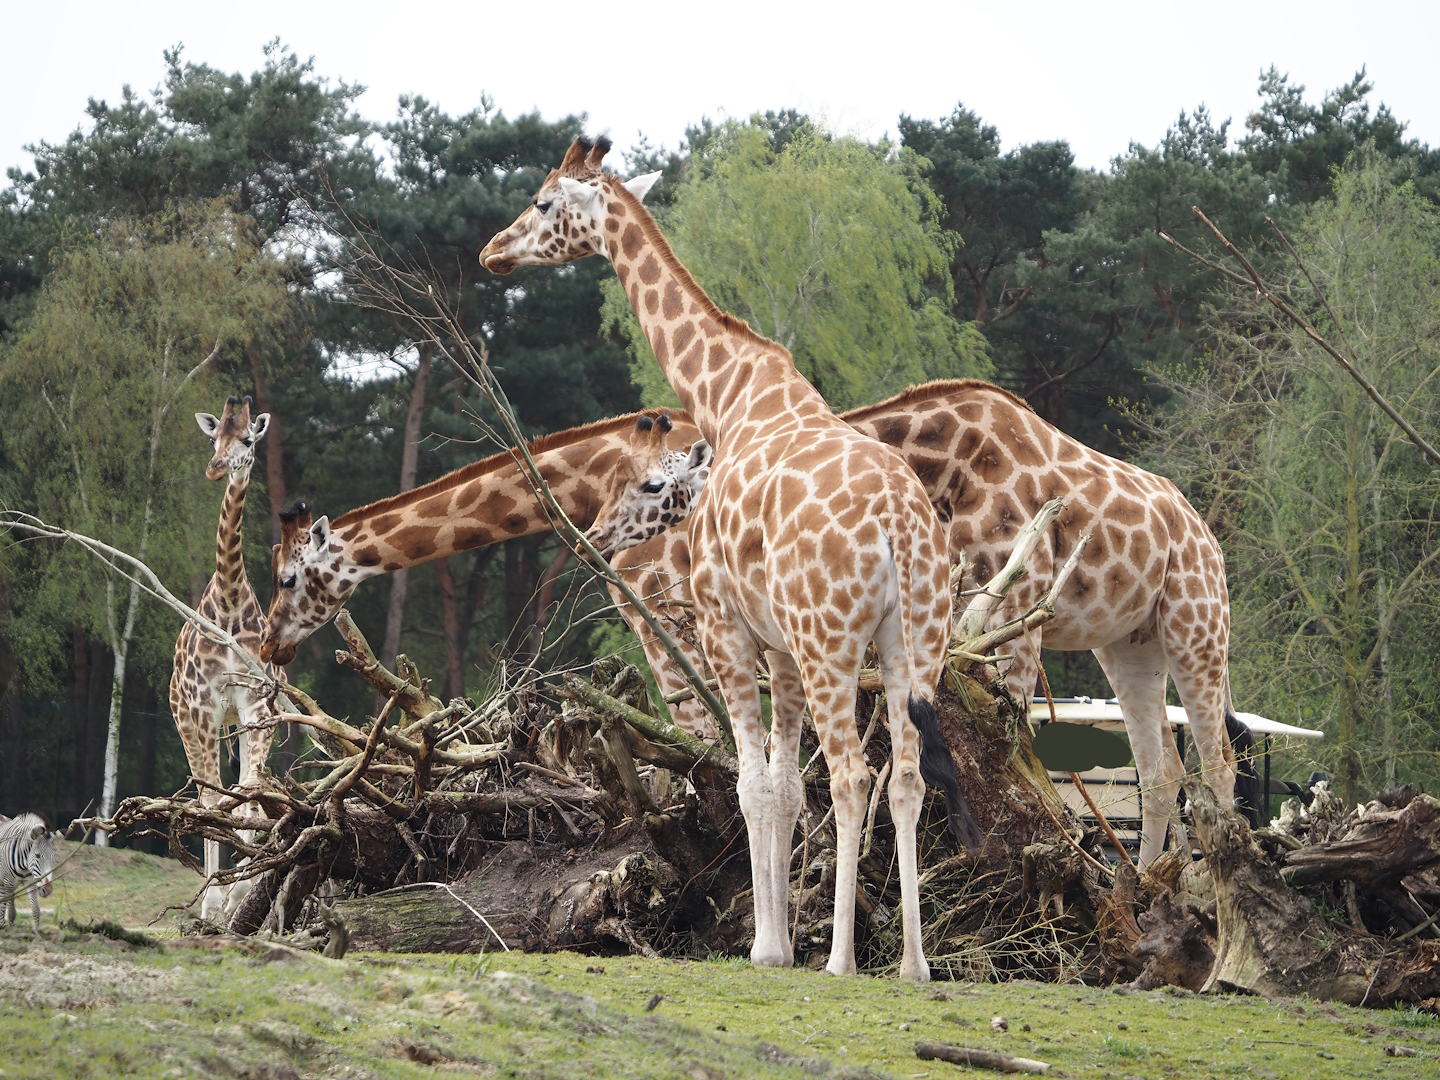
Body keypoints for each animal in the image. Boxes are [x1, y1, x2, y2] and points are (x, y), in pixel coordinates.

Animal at [480, 136, 975, 981]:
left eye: (543, 203)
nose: (492, 252)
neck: (731, 394)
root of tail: (900, 529)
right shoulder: (776, 645)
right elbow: (782, 787)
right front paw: (774, 938)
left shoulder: (727, 626)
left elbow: (751, 783)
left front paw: (768, 946)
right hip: (915, 642)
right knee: (907, 777)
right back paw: (913, 964)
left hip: (831, 641)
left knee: (852, 774)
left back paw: (842, 960)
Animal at [594, 379, 1252, 868]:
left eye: (651, 484)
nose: (599, 539)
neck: (944, 466)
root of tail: (1207, 536)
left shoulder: (1020, 600)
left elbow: (1013, 738)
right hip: (1129, 645)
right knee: (1162, 771)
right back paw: (1143, 884)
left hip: (1196, 624)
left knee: (1218, 760)